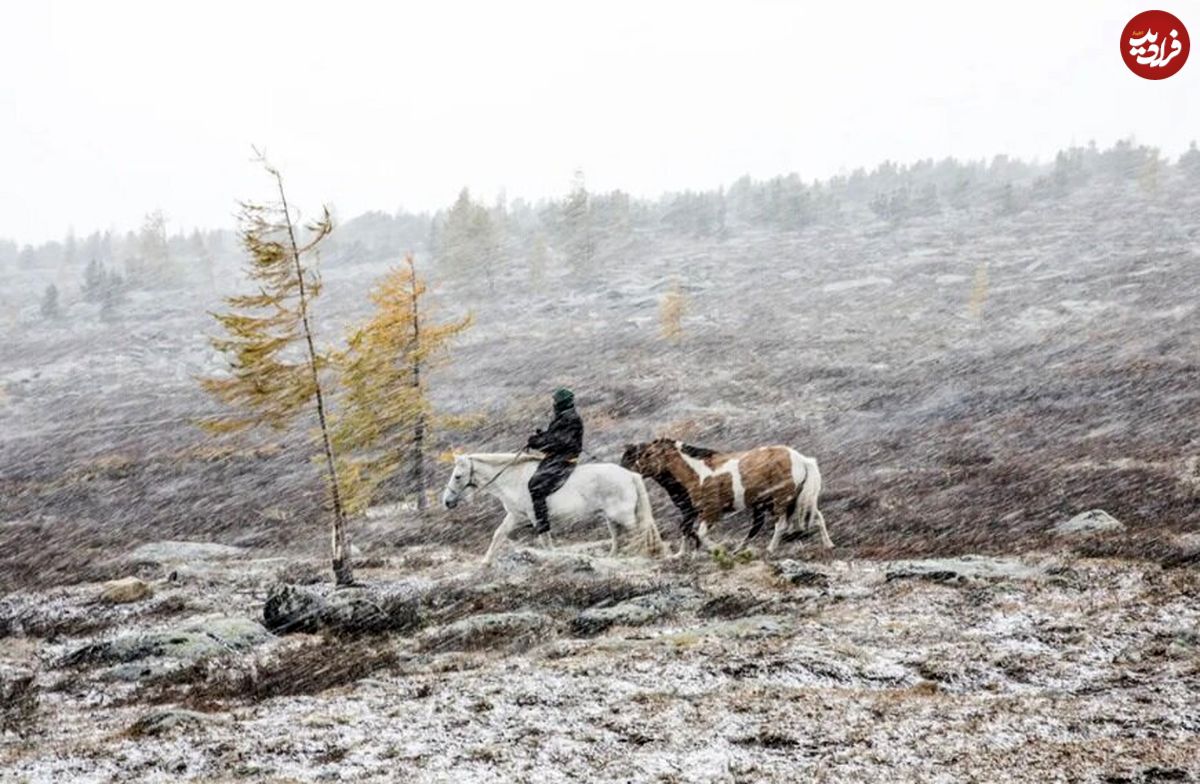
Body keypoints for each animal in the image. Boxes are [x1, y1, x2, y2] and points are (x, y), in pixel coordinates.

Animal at [441, 451, 667, 561]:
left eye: (457, 476)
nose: (447, 502)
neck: (514, 478)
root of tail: (630, 474)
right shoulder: (515, 516)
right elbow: (499, 534)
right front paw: (485, 563)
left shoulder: (536, 516)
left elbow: (545, 540)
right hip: (611, 517)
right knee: (618, 537)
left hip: (622, 515)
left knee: (639, 533)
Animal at [624, 437, 830, 552]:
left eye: (648, 454)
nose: (630, 471)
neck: (698, 473)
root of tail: (801, 459)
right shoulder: (697, 512)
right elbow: (689, 530)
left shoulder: (711, 511)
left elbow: (700, 534)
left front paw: (718, 550)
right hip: (797, 499)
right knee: (817, 517)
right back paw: (828, 545)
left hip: (781, 499)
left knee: (780, 525)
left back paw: (770, 549)